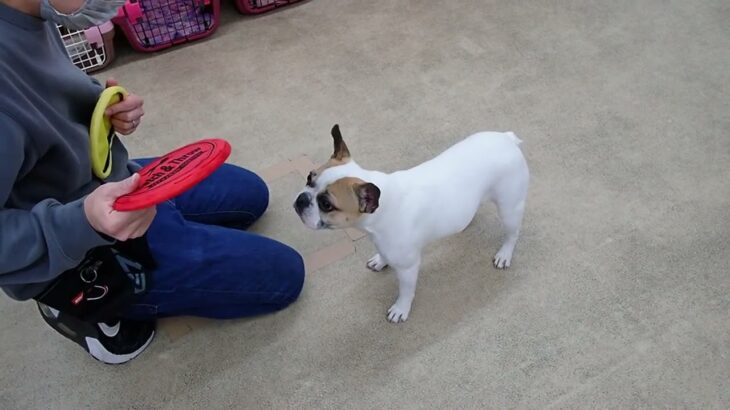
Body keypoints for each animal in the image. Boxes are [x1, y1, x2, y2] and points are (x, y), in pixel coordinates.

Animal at [292, 125, 528, 324]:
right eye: (309, 177)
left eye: (326, 204)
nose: (302, 199)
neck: (381, 210)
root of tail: (507, 139)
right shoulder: (383, 243)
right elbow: (383, 254)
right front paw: (380, 261)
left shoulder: (407, 267)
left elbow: (406, 291)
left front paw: (400, 309)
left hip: (509, 207)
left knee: (512, 233)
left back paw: (505, 254)